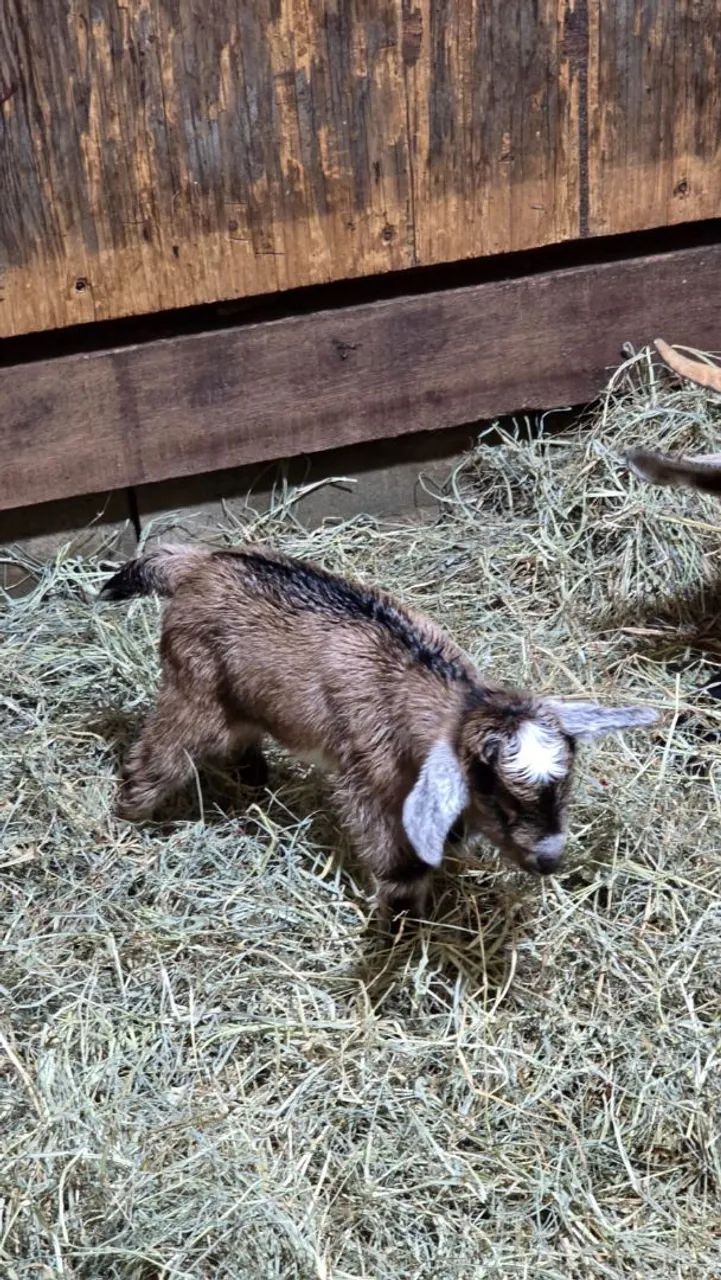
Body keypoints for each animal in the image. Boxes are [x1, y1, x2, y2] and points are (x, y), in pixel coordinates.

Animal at [100, 543, 657, 918]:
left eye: (565, 791)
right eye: (499, 801)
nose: (549, 860)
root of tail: (198, 562)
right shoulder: (371, 777)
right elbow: (393, 854)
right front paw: (405, 918)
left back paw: (255, 779)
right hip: (194, 687)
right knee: (165, 749)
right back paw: (128, 815)